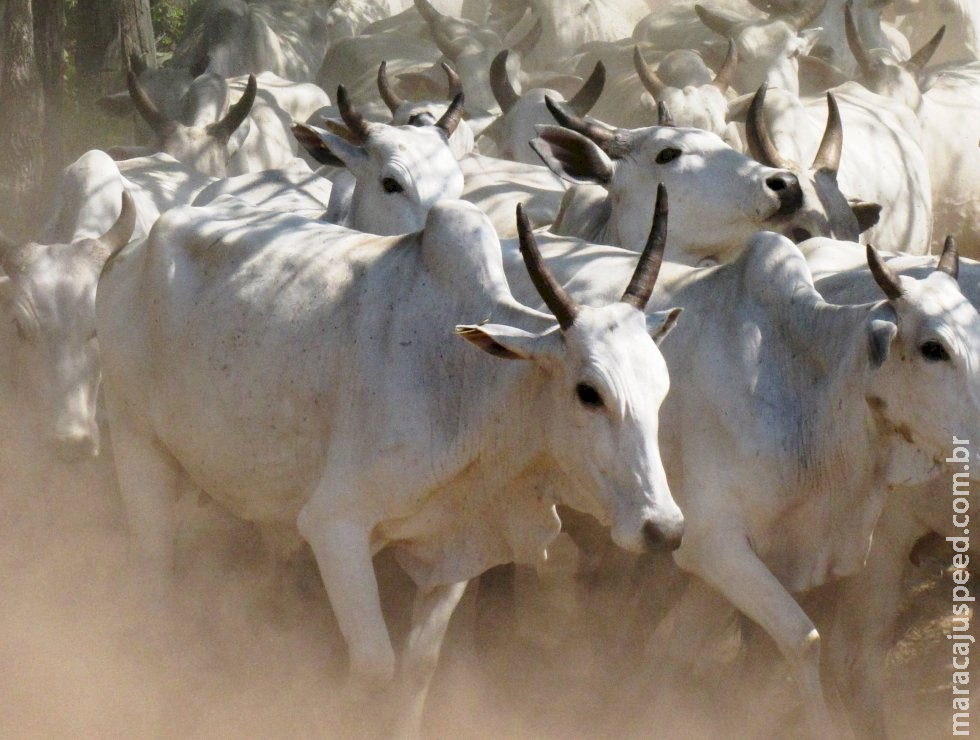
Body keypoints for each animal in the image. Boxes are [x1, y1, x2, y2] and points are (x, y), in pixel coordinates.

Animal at [95, 194, 684, 736]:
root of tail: (130, 252)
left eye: (663, 388)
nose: (665, 528)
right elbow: (374, 666)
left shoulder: (453, 552)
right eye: (589, 393)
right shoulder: (334, 528)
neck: (469, 386)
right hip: (136, 441)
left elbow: (418, 667)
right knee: (154, 574)